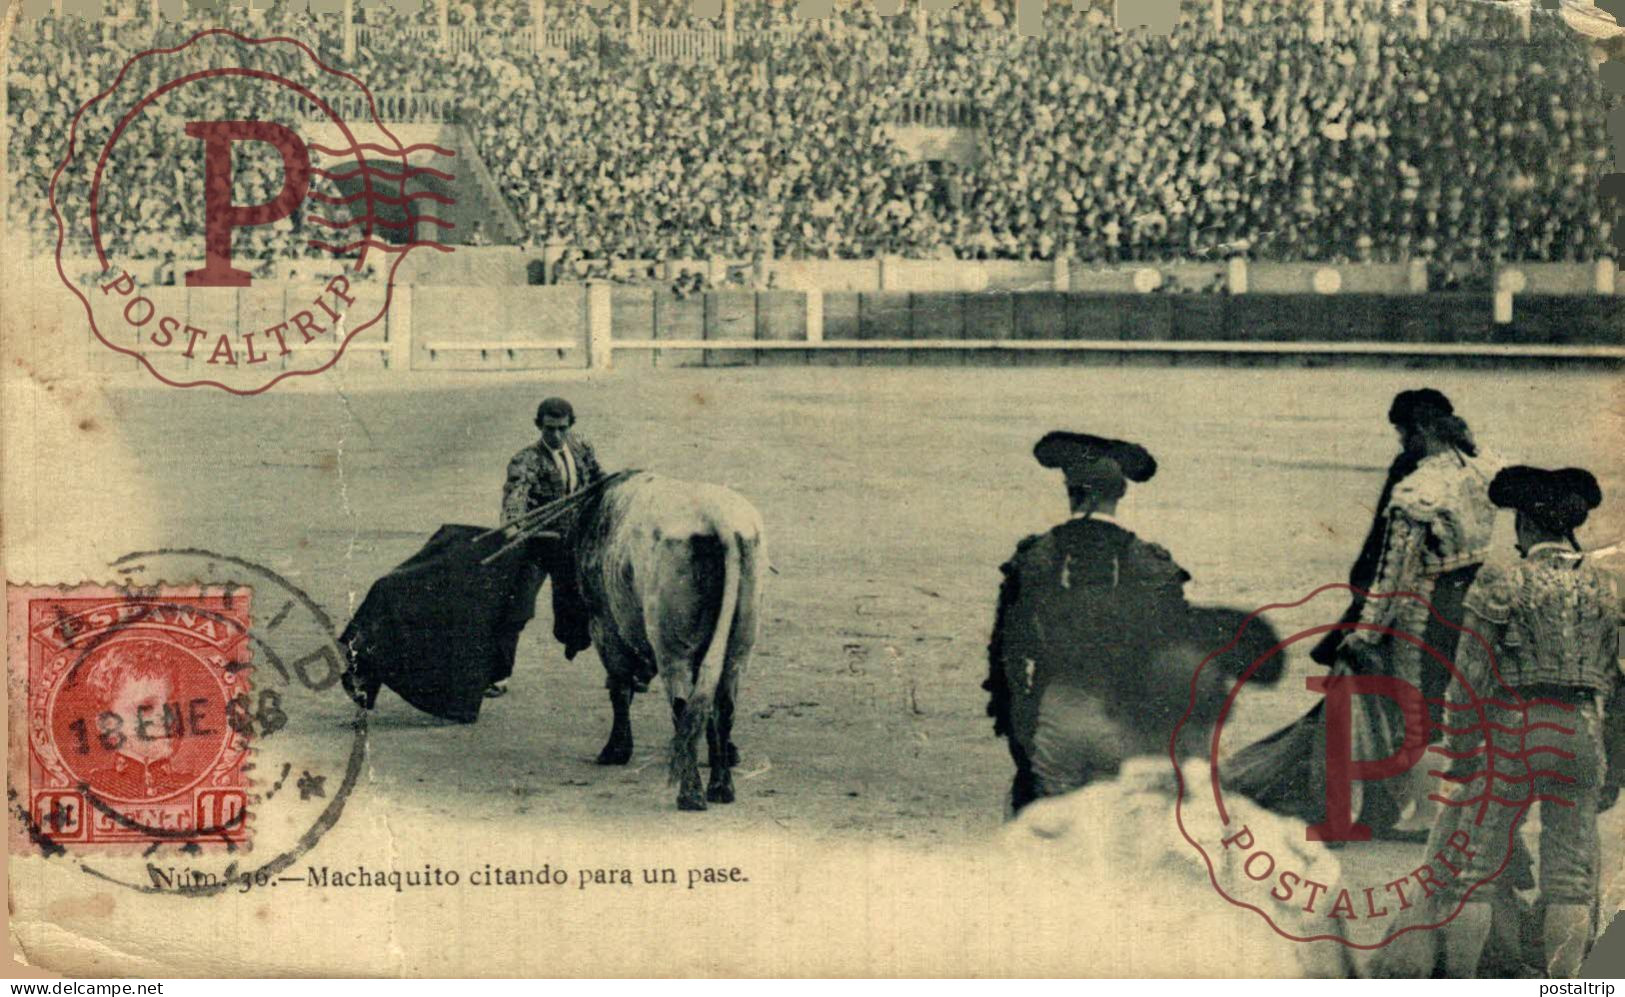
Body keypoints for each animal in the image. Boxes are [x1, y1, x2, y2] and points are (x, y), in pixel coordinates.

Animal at [568, 470, 770, 811]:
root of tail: (715, 517)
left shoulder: (605, 629)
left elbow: (619, 689)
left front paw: (615, 750)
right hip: (740, 645)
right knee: (722, 706)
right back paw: (720, 787)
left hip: (671, 649)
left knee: (681, 704)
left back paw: (690, 793)